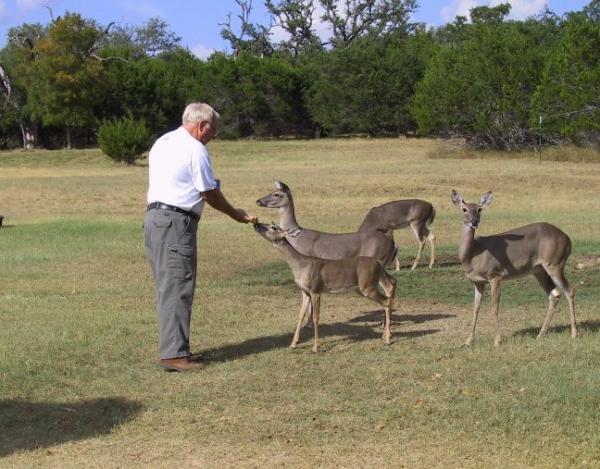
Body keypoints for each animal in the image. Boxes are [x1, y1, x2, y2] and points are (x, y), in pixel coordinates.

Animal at [254, 223, 398, 352]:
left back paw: (387, 339)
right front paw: (294, 343)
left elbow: (315, 317)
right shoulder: (305, 291)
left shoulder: (316, 289)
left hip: (367, 286)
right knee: (390, 288)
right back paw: (385, 336)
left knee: (386, 300)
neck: (301, 266)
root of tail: (378, 262)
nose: (257, 225)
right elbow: (301, 314)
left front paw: (315, 347)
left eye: (273, 227)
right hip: (365, 285)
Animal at [450, 188, 576, 346]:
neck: (473, 254)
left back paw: (574, 333)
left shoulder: (495, 274)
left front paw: (497, 341)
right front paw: (467, 341)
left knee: (569, 290)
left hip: (555, 263)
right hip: (539, 270)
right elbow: (475, 309)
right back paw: (540, 334)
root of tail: (568, 240)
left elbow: (494, 308)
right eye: (464, 209)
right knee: (555, 293)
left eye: (479, 209)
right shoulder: (477, 282)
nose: (474, 221)